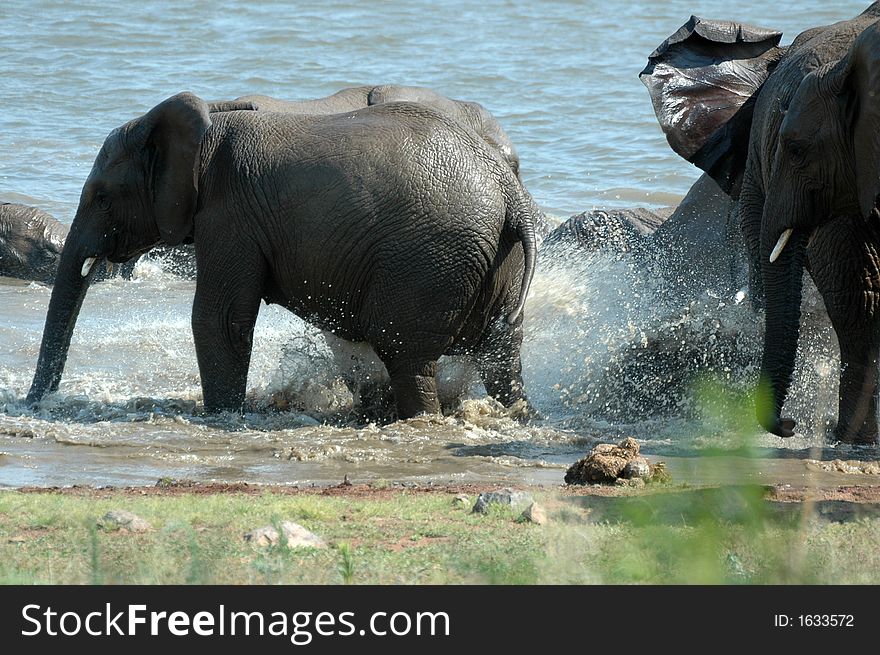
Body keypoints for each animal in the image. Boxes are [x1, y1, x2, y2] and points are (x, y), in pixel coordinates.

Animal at [644, 5, 880, 444]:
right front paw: (852, 440)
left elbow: (859, 296)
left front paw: (849, 440)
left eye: (796, 149)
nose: (788, 425)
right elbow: (860, 293)